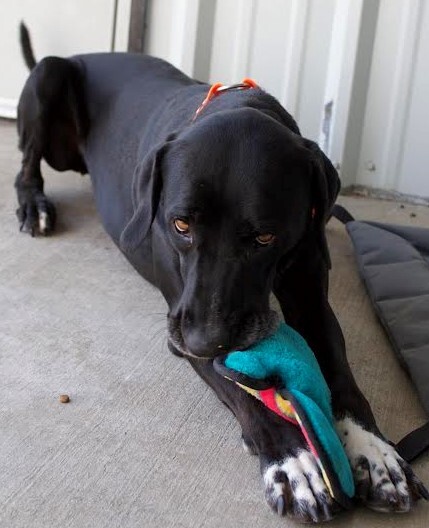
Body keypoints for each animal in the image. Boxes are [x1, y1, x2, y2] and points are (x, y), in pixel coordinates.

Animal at [15, 22, 426, 520]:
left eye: (265, 237)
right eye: (180, 225)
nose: (202, 341)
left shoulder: (311, 295)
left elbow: (339, 368)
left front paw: (372, 451)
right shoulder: (182, 315)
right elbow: (241, 389)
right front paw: (294, 460)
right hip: (49, 74)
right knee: (25, 166)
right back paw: (34, 204)